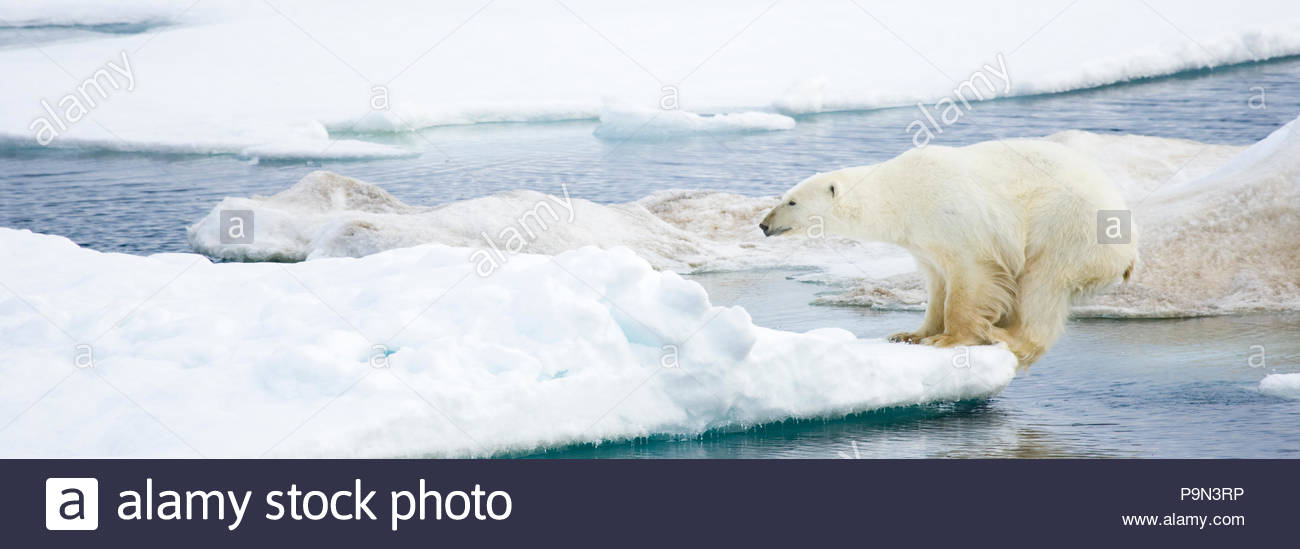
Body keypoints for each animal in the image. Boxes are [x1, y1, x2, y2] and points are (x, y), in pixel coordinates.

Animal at [759, 139, 1138, 366]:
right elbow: (936, 282)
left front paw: (947, 339)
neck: (902, 194)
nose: (763, 224)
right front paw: (911, 334)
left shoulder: (957, 221)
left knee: (1042, 282)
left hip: (1066, 224)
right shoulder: (923, 240)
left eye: (791, 202)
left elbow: (969, 279)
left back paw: (1004, 334)